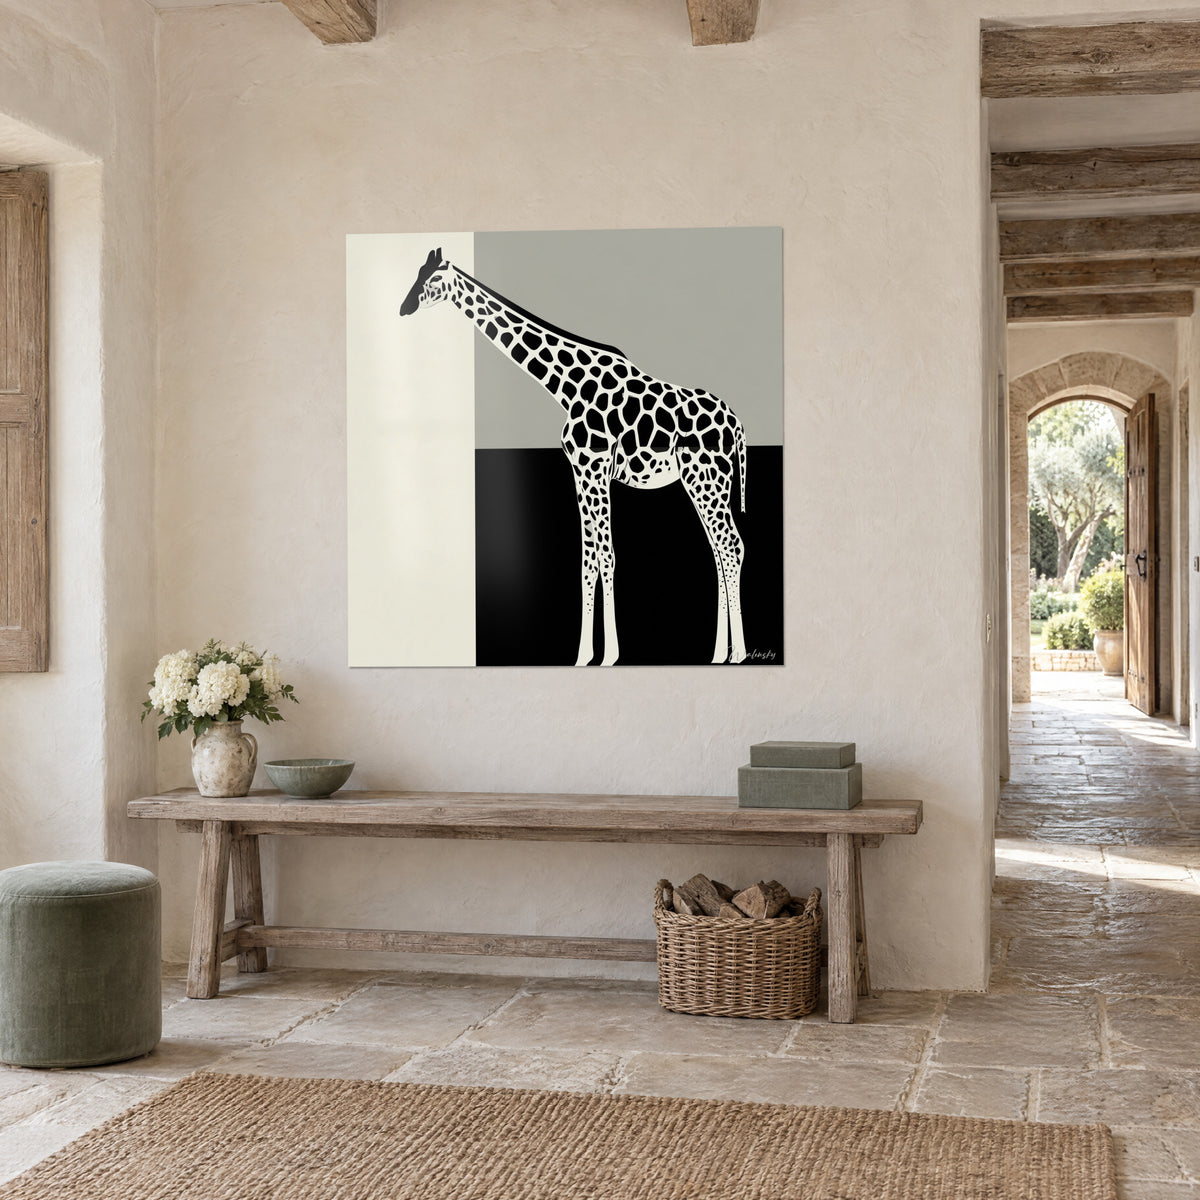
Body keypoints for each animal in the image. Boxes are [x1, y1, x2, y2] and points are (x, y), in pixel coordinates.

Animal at [400, 247, 747, 666]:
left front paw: (610, 655)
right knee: (719, 550)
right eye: (417, 274)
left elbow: (606, 556)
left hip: (707, 477)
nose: (403, 308)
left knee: (730, 546)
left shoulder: (595, 467)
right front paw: (584, 656)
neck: (566, 385)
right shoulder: (580, 472)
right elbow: (587, 561)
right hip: (707, 482)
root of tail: (736, 423)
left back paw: (737, 653)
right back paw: (718, 654)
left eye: (432, 279)